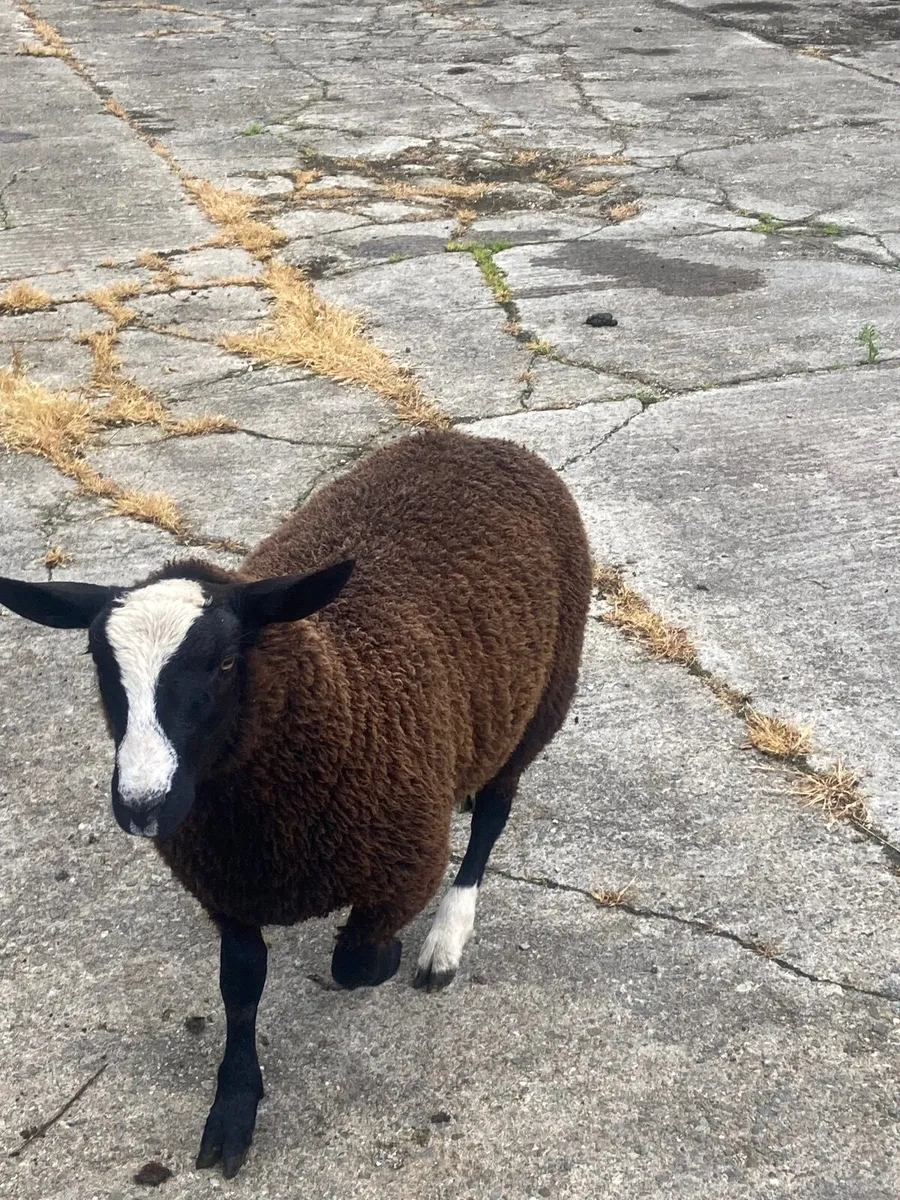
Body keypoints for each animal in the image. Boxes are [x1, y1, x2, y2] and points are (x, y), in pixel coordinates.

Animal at [0, 429, 592, 1178]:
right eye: (101, 667)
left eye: (227, 663)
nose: (142, 804)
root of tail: (477, 439)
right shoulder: (227, 889)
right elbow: (241, 987)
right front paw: (232, 1110)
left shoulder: (403, 865)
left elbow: (356, 965)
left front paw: (393, 954)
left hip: (538, 706)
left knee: (492, 815)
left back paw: (446, 937)